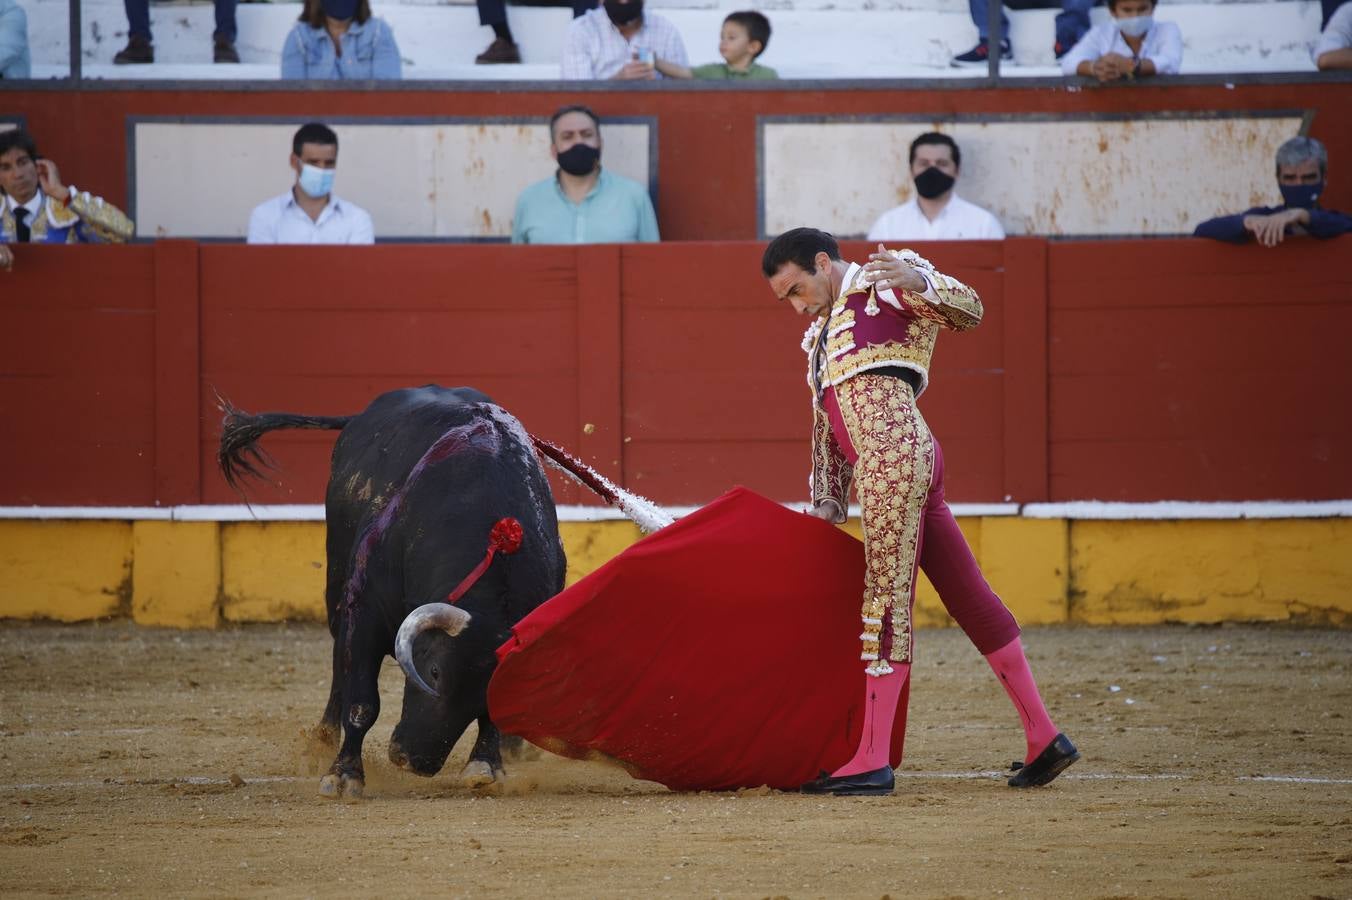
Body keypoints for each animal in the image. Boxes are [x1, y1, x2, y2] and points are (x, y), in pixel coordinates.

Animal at [219, 381, 567, 794]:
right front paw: (343, 775)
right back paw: (321, 741)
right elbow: (362, 701)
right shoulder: (366, 609)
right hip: (337, 589)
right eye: (434, 671)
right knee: (339, 664)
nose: (414, 761)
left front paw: (485, 764)